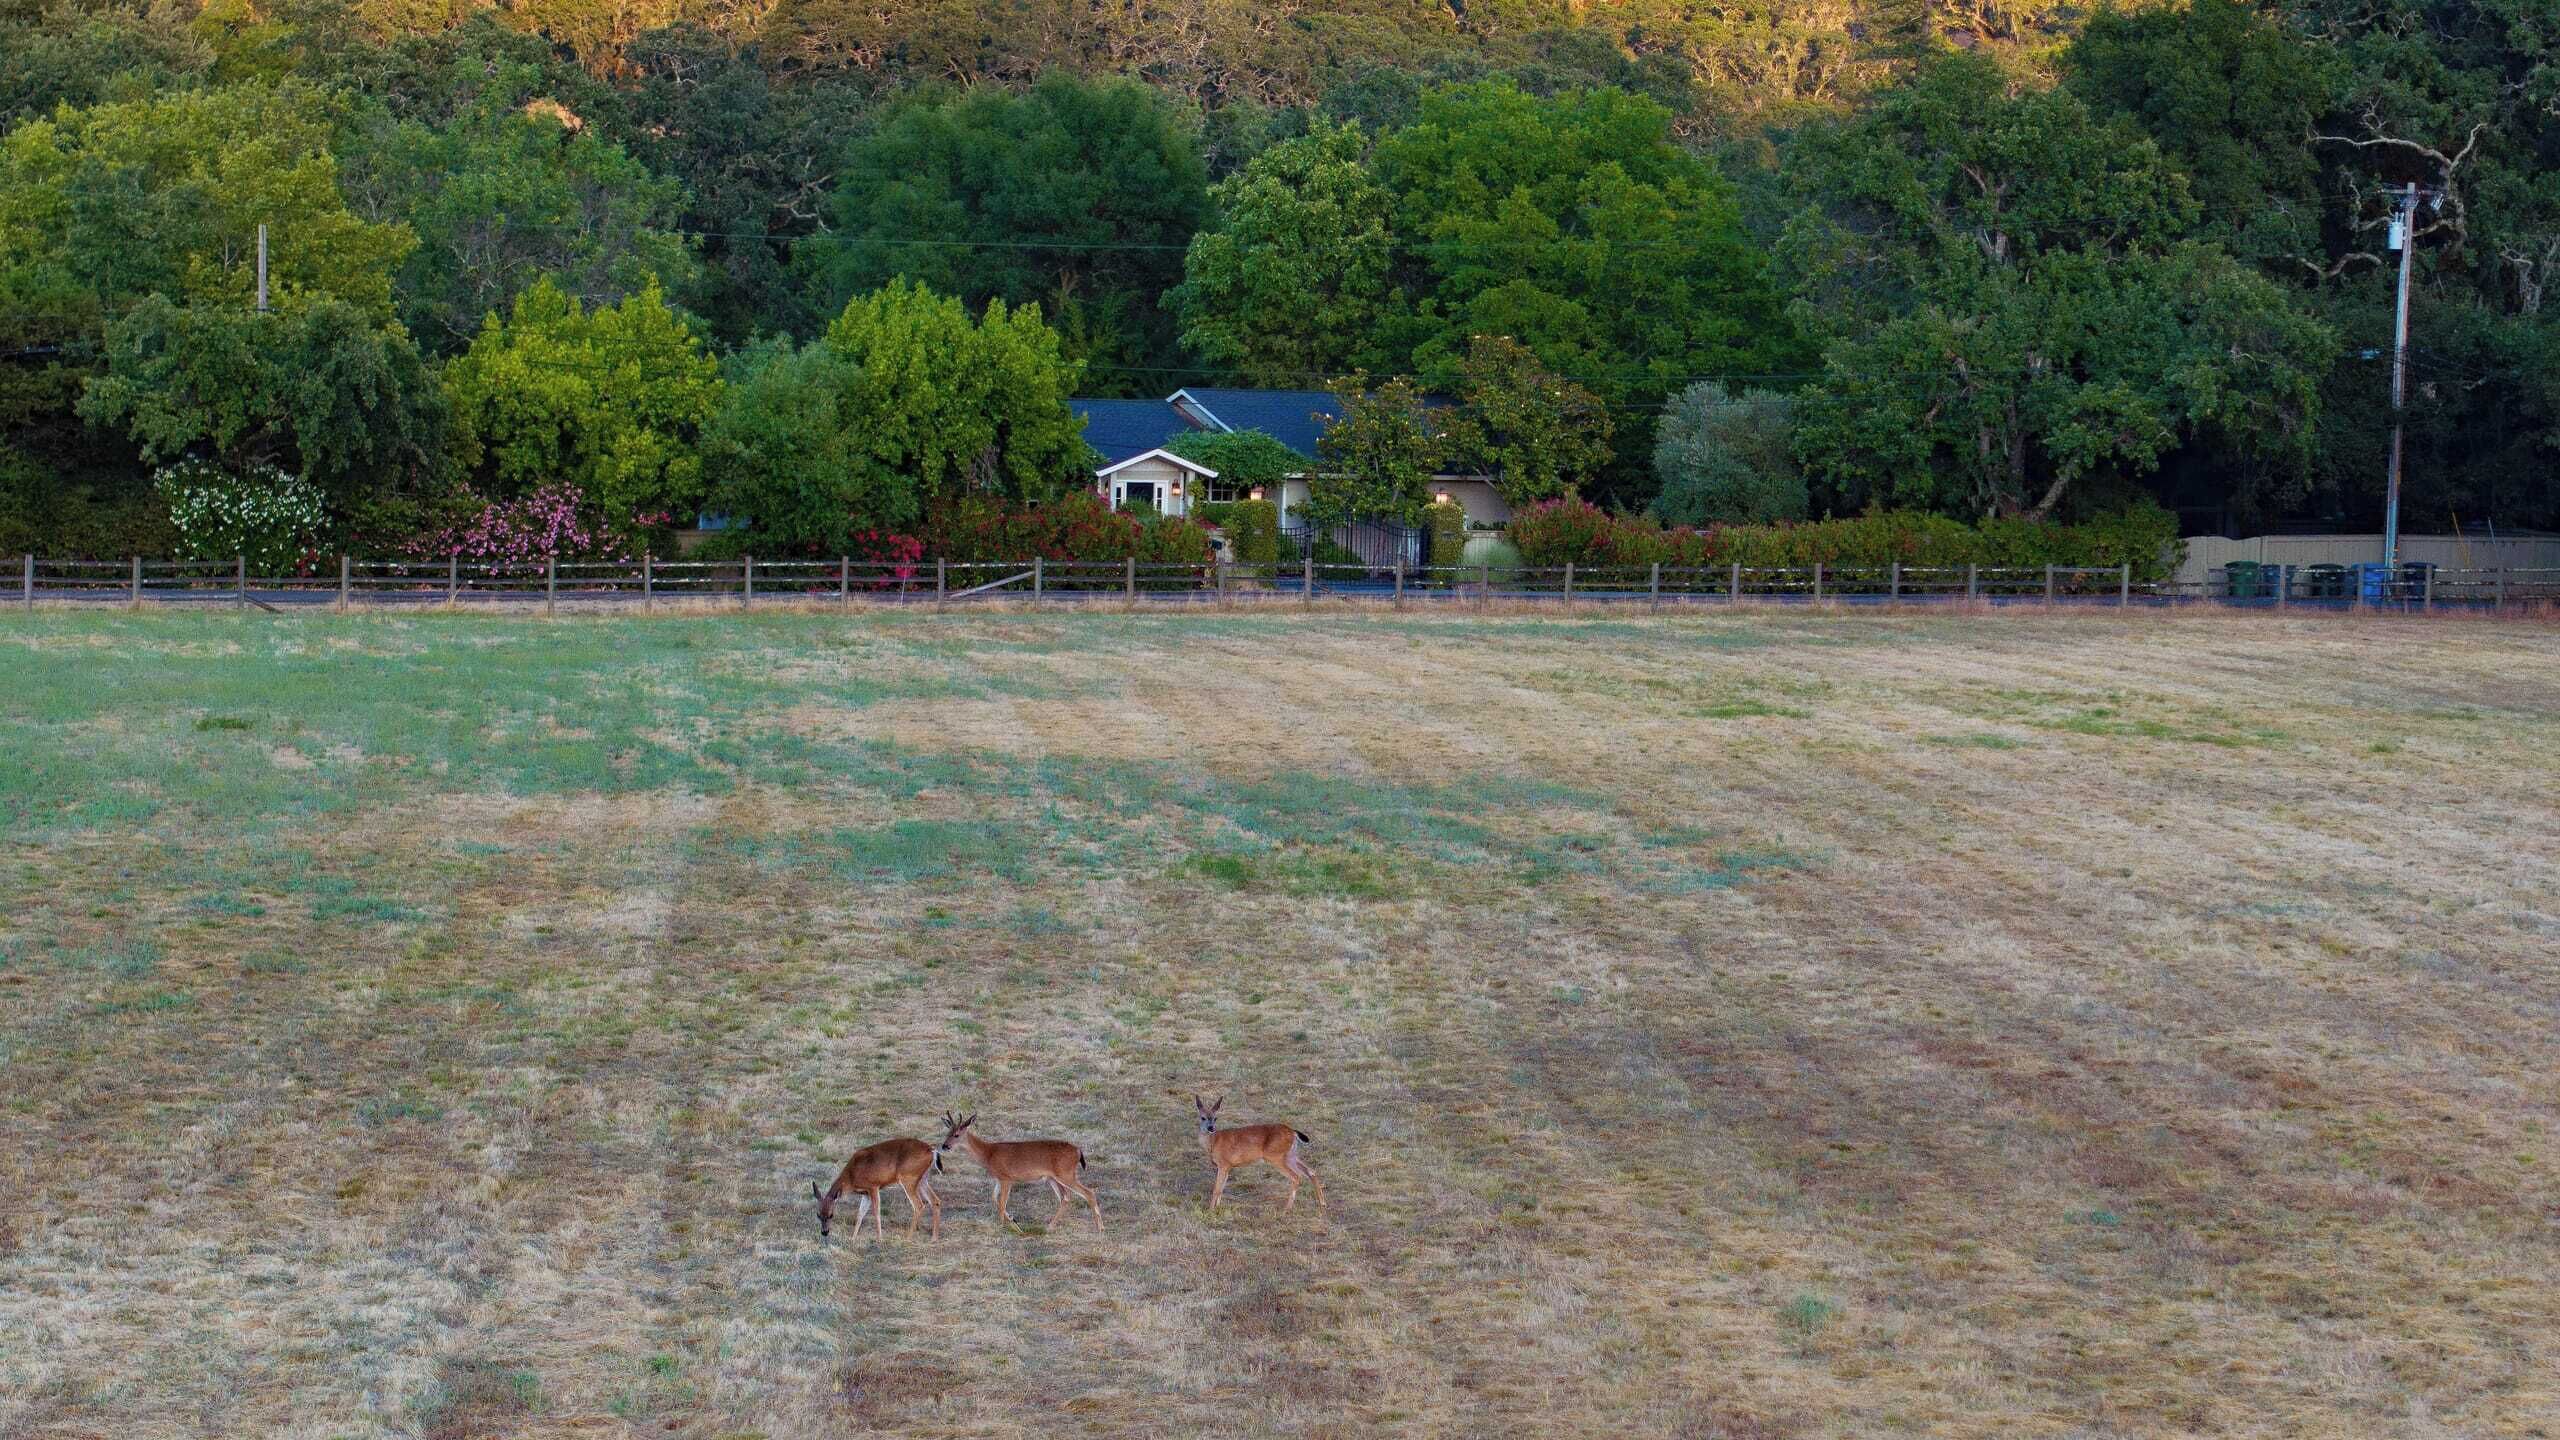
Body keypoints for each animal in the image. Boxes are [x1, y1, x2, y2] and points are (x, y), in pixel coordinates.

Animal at [811, 1136, 943, 1240]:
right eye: (818, 1214)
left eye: (831, 1215)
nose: (824, 1232)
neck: (852, 1176)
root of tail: (932, 1150)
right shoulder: (865, 1193)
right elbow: (860, 1214)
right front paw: (853, 1238)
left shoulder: (873, 1186)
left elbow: (876, 1212)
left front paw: (879, 1238)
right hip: (922, 1179)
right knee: (935, 1200)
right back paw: (934, 1238)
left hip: (908, 1177)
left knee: (919, 1205)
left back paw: (908, 1237)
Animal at [935, 1111, 1103, 1233]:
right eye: (947, 1133)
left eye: (956, 1135)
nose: (944, 1146)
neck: (988, 1154)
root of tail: (1078, 1150)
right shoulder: (999, 1178)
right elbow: (994, 1198)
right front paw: (1013, 1221)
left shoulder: (1007, 1178)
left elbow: (1001, 1202)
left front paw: (1002, 1226)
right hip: (1053, 1178)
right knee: (1066, 1198)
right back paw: (1050, 1226)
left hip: (1066, 1173)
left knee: (1088, 1193)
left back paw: (1099, 1227)